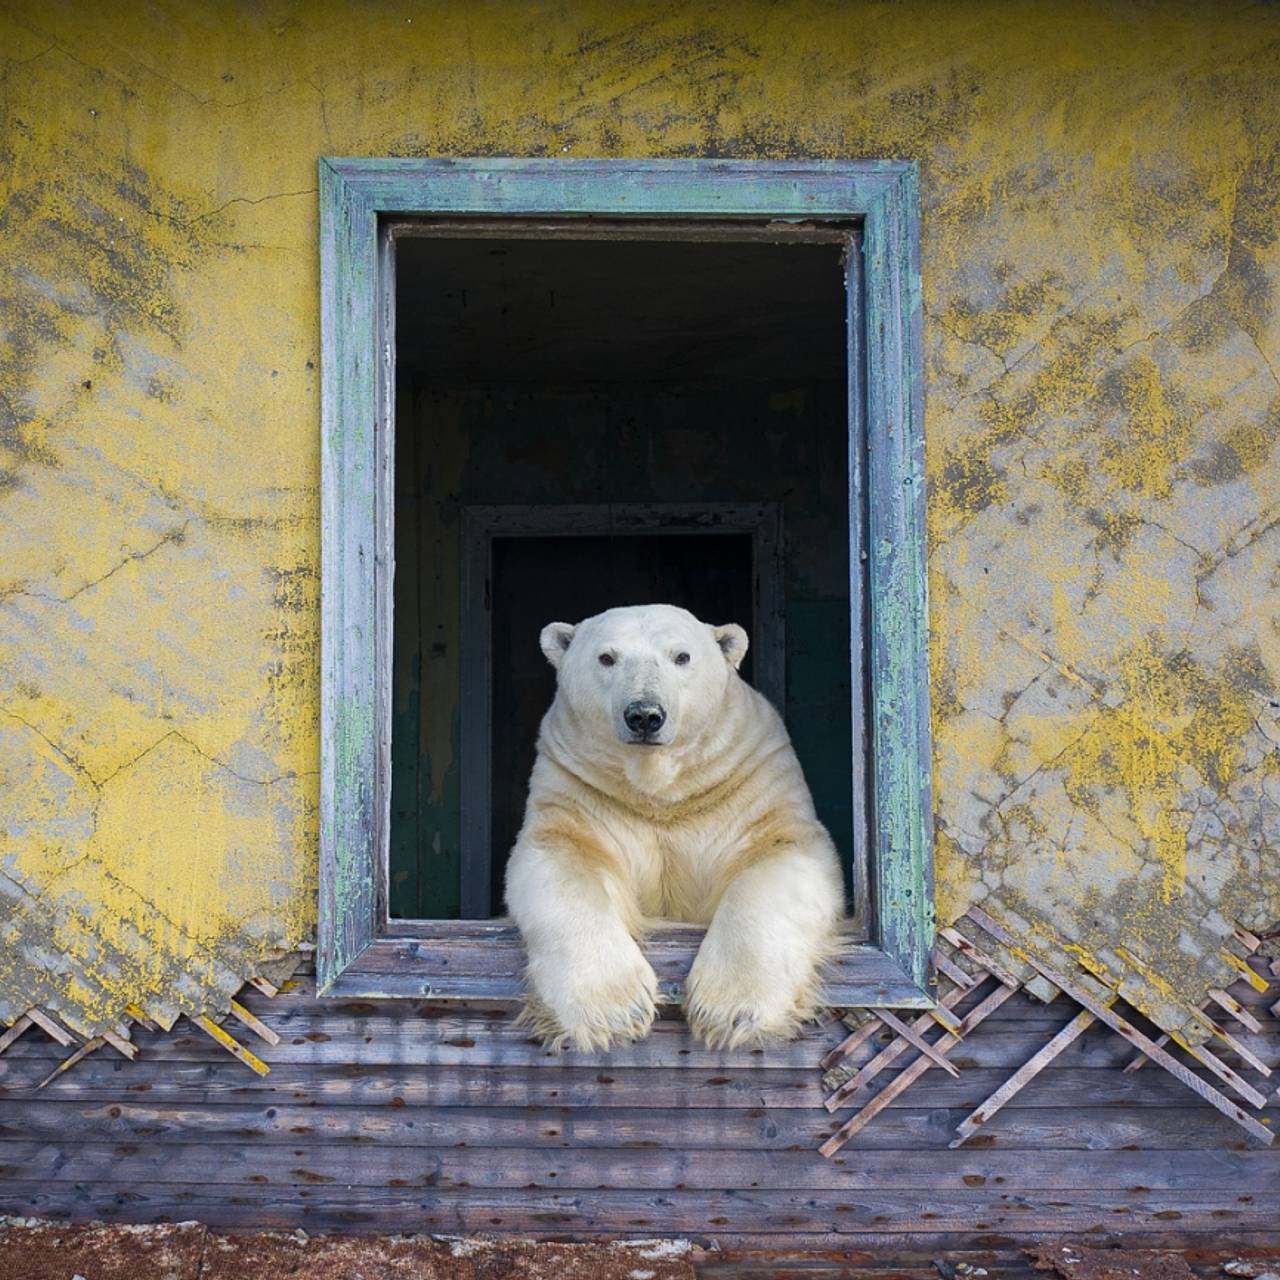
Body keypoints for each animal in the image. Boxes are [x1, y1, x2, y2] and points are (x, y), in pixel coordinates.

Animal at [504, 599, 844, 1049]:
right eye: (606, 657)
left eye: (682, 656)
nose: (645, 715)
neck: (661, 793)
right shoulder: (579, 791)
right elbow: (560, 862)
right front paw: (614, 1011)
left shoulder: (750, 781)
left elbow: (779, 859)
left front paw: (730, 1011)